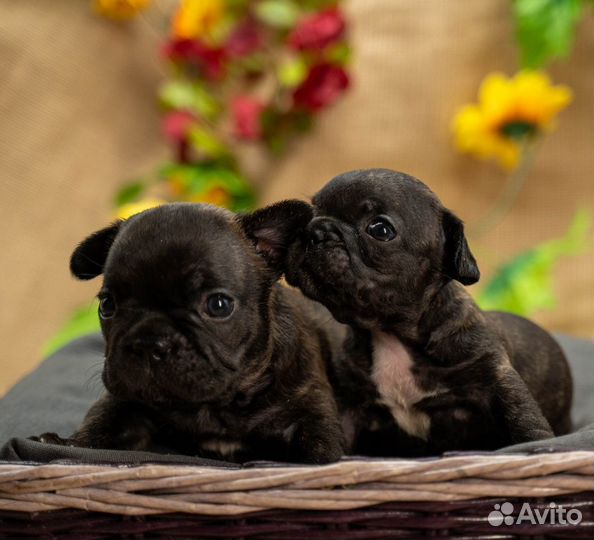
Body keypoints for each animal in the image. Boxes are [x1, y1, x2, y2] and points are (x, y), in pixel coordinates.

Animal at [33, 202, 346, 464]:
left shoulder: (310, 411)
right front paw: (65, 442)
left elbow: (316, 454)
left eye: (218, 305)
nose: (149, 343)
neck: (215, 408)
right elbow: (97, 425)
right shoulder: (124, 403)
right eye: (107, 305)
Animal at [252, 169, 572, 456]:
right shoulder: (351, 404)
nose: (315, 229)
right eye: (311, 212)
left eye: (380, 229)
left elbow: (524, 421)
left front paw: (537, 445)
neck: (388, 333)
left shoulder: (497, 378)